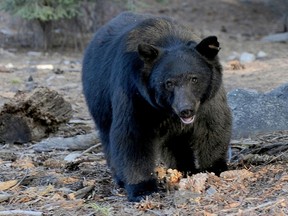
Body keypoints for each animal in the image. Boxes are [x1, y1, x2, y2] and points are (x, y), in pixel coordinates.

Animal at [81, 11, 232, 201]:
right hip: (99, 98)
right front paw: (142, 188)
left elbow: (213, 126)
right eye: (168, 83)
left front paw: (214, 168)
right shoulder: (135, 93)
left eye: (194, 78)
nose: (186, 110)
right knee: (107, 136)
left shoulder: (208, 99)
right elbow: (133, 135)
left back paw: (184, 168)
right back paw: (120, 178)